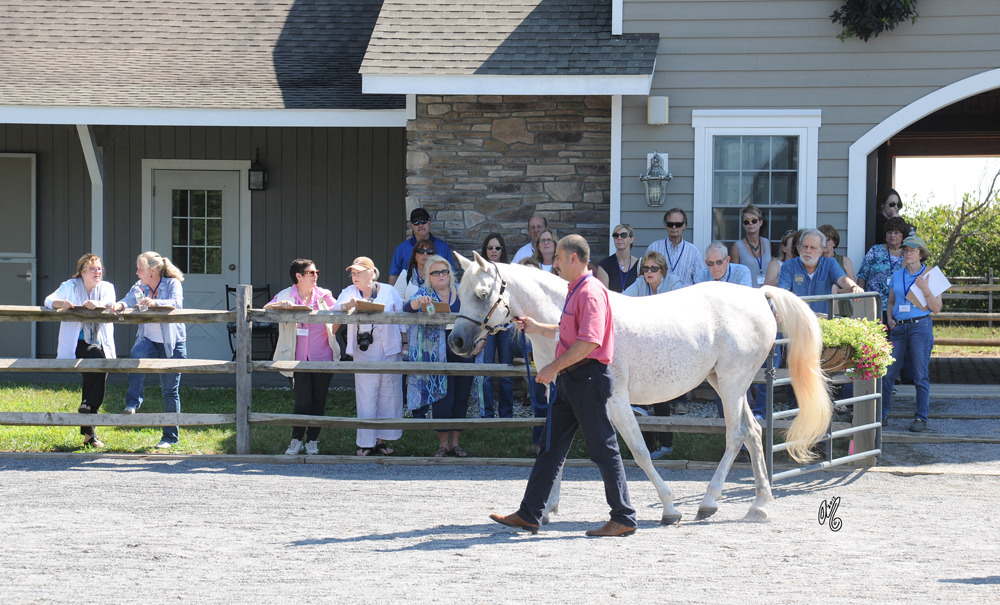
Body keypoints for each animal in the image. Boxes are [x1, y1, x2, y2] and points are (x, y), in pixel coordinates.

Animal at [448, 252, 831, 523]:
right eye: (460, 293)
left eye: (482, 293)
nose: (456, 342)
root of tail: (758, 294)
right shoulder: (565, 398)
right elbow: (555, 450)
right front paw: (545, 509)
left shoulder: (615, 402)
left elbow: (639, 452)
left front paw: (669, 507)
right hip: (725, 384)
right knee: (752, 433)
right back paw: (760, 505)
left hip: (733, 384)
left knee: (736, 435)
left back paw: (708, 501)